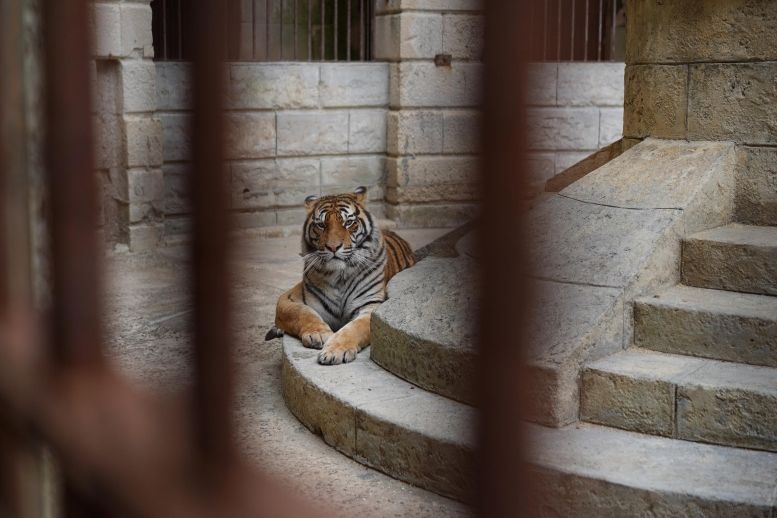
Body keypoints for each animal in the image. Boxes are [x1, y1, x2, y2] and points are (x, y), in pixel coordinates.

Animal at [265, 186, 415, 365]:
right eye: (321, 225)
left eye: (348, 223)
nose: (333, 247)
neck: (339, 277)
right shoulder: (289, 298)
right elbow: (302, 313)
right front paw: (319, 334)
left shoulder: (371, 305)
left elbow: (355, 327)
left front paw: (335, 351)